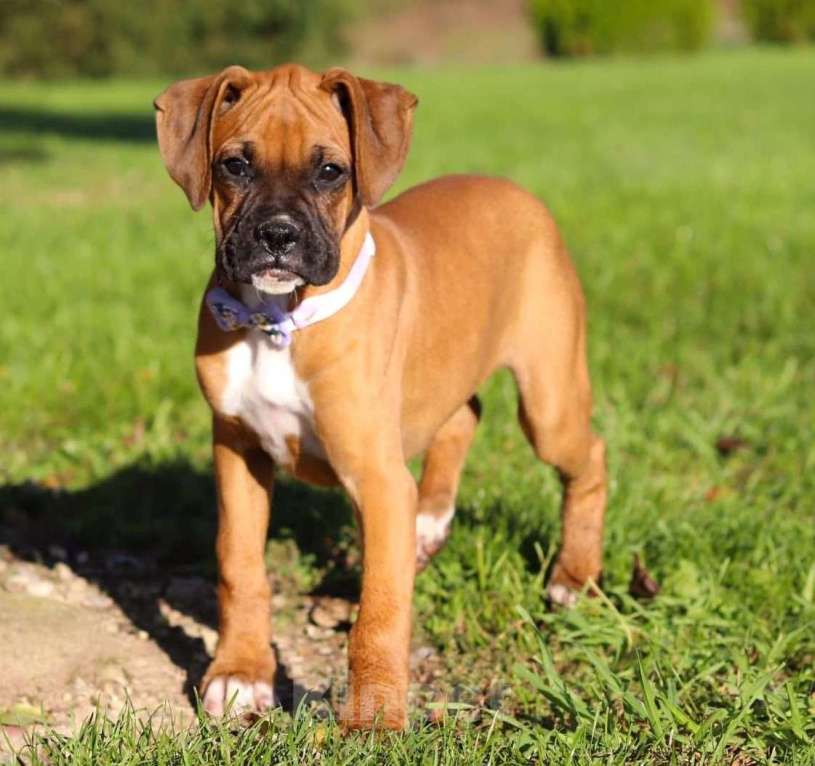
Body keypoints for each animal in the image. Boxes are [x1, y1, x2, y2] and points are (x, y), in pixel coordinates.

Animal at [156, 64, 608, 732]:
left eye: (330, 171)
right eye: (235, 165)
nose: (277, 235)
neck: (277, 322)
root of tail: (512, 189)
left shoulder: (378, 478)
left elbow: (381, 610)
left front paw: (372, 718)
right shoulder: (238, 449)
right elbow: (240, 565)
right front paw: (241, 673)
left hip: (549, 402)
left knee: (589, 457)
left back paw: (574, 577)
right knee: (464, 416)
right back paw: (430, 523)